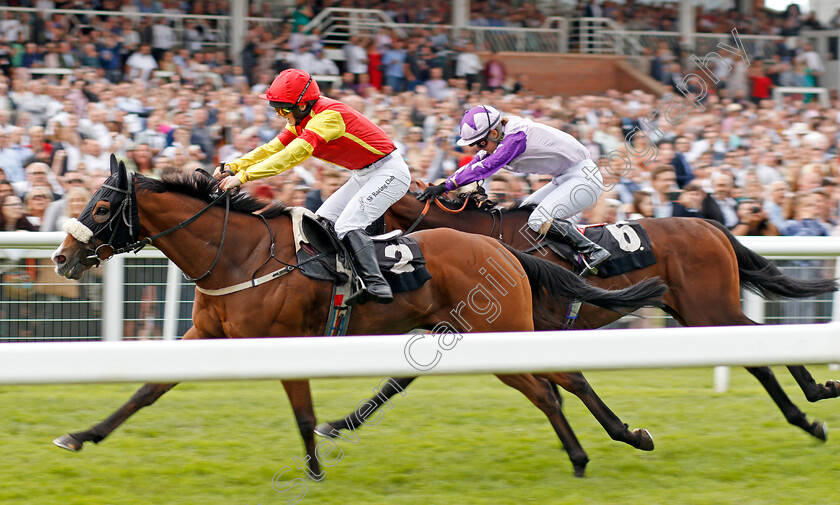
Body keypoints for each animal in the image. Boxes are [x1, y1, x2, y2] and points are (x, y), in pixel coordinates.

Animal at [49, 159, 668, 478]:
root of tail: (504, 249)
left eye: (101, 207)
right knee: (560, 382)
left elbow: (302, 413)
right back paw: (614, 440)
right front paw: (81, 435)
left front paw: (314, 471)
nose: (62, 258)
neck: (238, 255)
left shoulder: (283, 342)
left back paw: (587, 454)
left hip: (499, 331)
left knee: (550, 388)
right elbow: (146, 390)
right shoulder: (206, 334)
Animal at [316, 188, 840, 452]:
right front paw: (338, 424)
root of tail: (709, 223)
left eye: (370, 215)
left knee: (759, 343)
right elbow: (397, 380)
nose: (338, 244)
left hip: (710, 309)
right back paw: (808, 410)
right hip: (695, 312)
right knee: (756, 354)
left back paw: (814, 401)